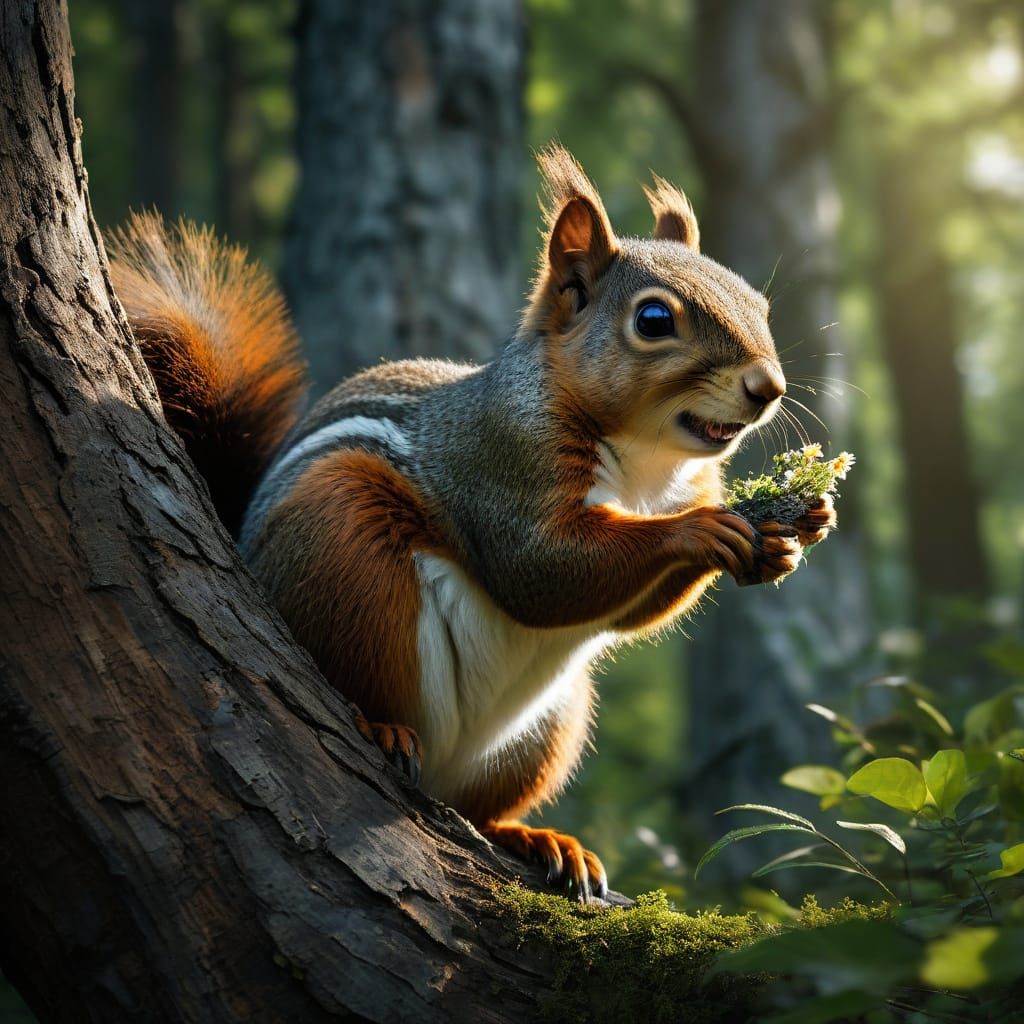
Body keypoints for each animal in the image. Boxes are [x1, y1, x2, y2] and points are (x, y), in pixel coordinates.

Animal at [109, 146, 835, 901]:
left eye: (759, 303)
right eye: (655, 319)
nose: (768, 387)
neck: (646, 465)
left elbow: (624, 608)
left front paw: (798, 527)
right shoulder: (499, 461)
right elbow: (542, 571)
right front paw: (699, 531)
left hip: (541, 732)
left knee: (478, 810)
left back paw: (540, 840)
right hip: (346, 557)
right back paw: (384, 728)